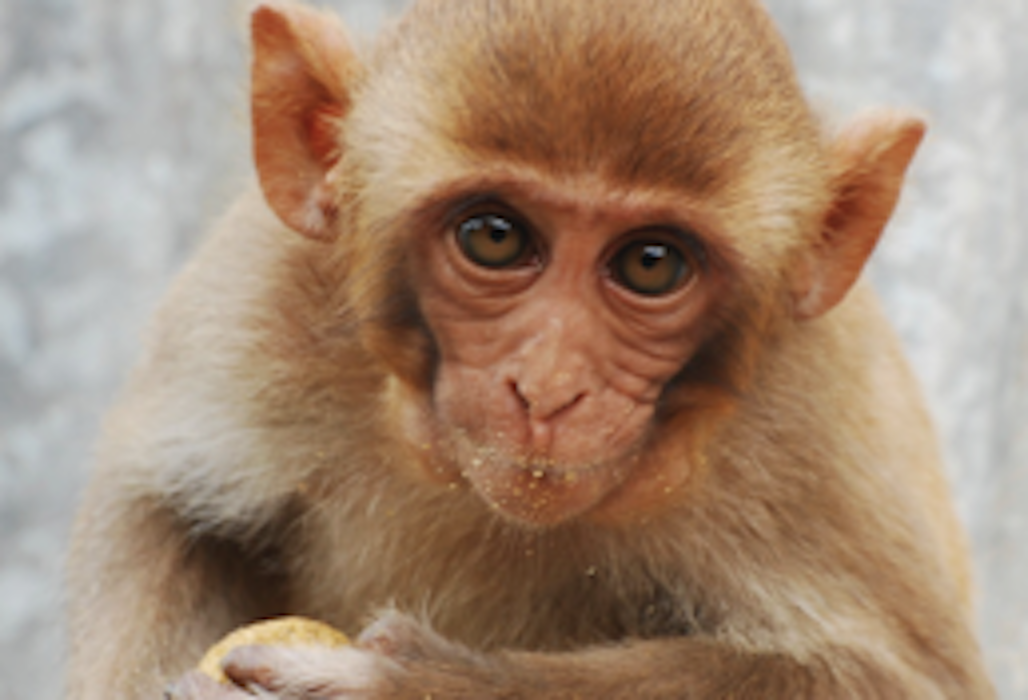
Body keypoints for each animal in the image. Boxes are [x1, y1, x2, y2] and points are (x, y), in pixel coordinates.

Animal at [65, 0, 996, 698]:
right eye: (495, 238)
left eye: (651, 264)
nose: (549, 390)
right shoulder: (258, 292)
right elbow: (164, 508)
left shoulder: (808, 425)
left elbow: (895, 680)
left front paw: (411, 684)